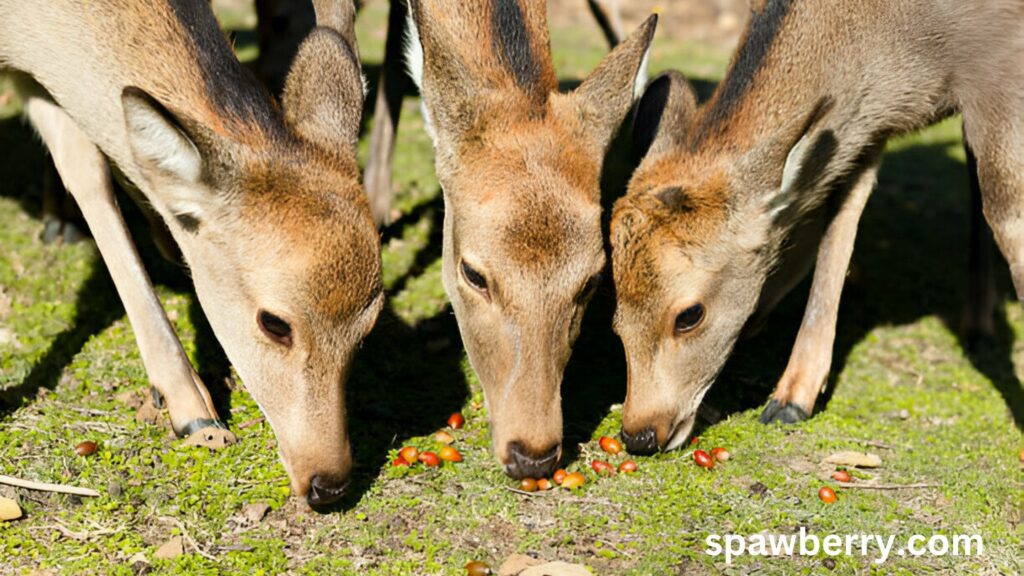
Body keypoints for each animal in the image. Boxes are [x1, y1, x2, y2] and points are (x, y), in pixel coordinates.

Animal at [1, 0, 385, 506]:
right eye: (275, 322)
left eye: (369, 327)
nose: (328, 483)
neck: (19, 27)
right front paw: (193, 411)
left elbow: (86, 165)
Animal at [606, 0, 1024, 450]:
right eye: (616, 316)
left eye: (689, 315)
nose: (640, 433)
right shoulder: (868, 124)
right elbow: (841, 207)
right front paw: (793, 395)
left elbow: (1007, 212)